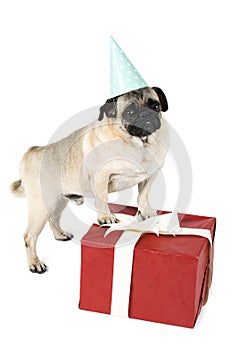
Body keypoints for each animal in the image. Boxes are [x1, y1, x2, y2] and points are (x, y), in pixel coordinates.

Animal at [10, 86, 169, 272]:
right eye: (129, 112)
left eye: (156, 107)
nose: (146, 115)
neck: (138, 145)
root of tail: (33, 152)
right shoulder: (101, 176)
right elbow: (102, 198)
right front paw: (106, 218)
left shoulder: (149, 176)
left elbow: (143, 195)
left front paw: (146, 211)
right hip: (41, 205)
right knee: (29, 236)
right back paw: (35, 264)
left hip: (57, 201)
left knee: (53, 219)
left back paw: (60, 235)